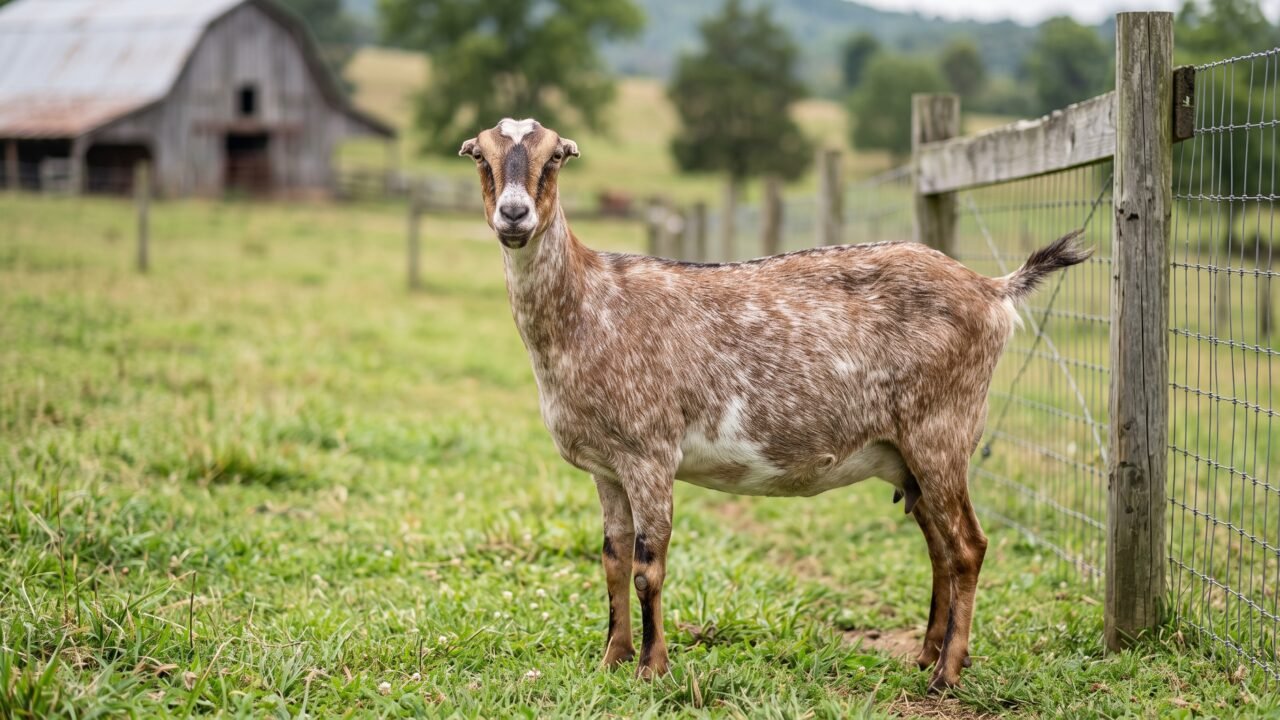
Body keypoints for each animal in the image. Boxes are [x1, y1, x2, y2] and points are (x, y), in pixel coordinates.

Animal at [459, 117, 1090, 692]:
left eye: (554, 157)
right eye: (482, 156)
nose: (513, 214)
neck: (590, 307)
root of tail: (994, 290)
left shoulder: (650, 453)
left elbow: (647, 568)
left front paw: (652, 670)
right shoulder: (606, 467)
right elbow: (613, 561)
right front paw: (612, 661)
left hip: (942, 430)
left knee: (967, 546)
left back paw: (946, 675)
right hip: (909, 454)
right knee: (940, 546)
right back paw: (925, 656)